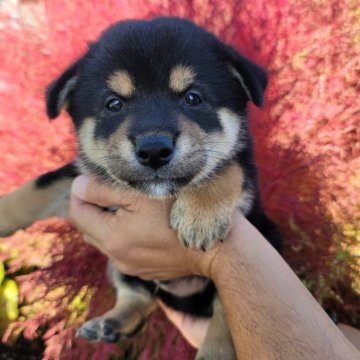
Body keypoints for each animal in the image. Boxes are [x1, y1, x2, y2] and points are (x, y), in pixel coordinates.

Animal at [0, 17, 282, 360]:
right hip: (122, 268)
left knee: (223, 313)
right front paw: (3, 213)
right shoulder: (81, 179)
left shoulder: (247, 178)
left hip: (266, 243)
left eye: (193, 98)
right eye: (114, 104)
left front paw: (199, 217)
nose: (154, 150)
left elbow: (225, 168)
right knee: (139, 296)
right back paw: (111, 324)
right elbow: (40, 185)